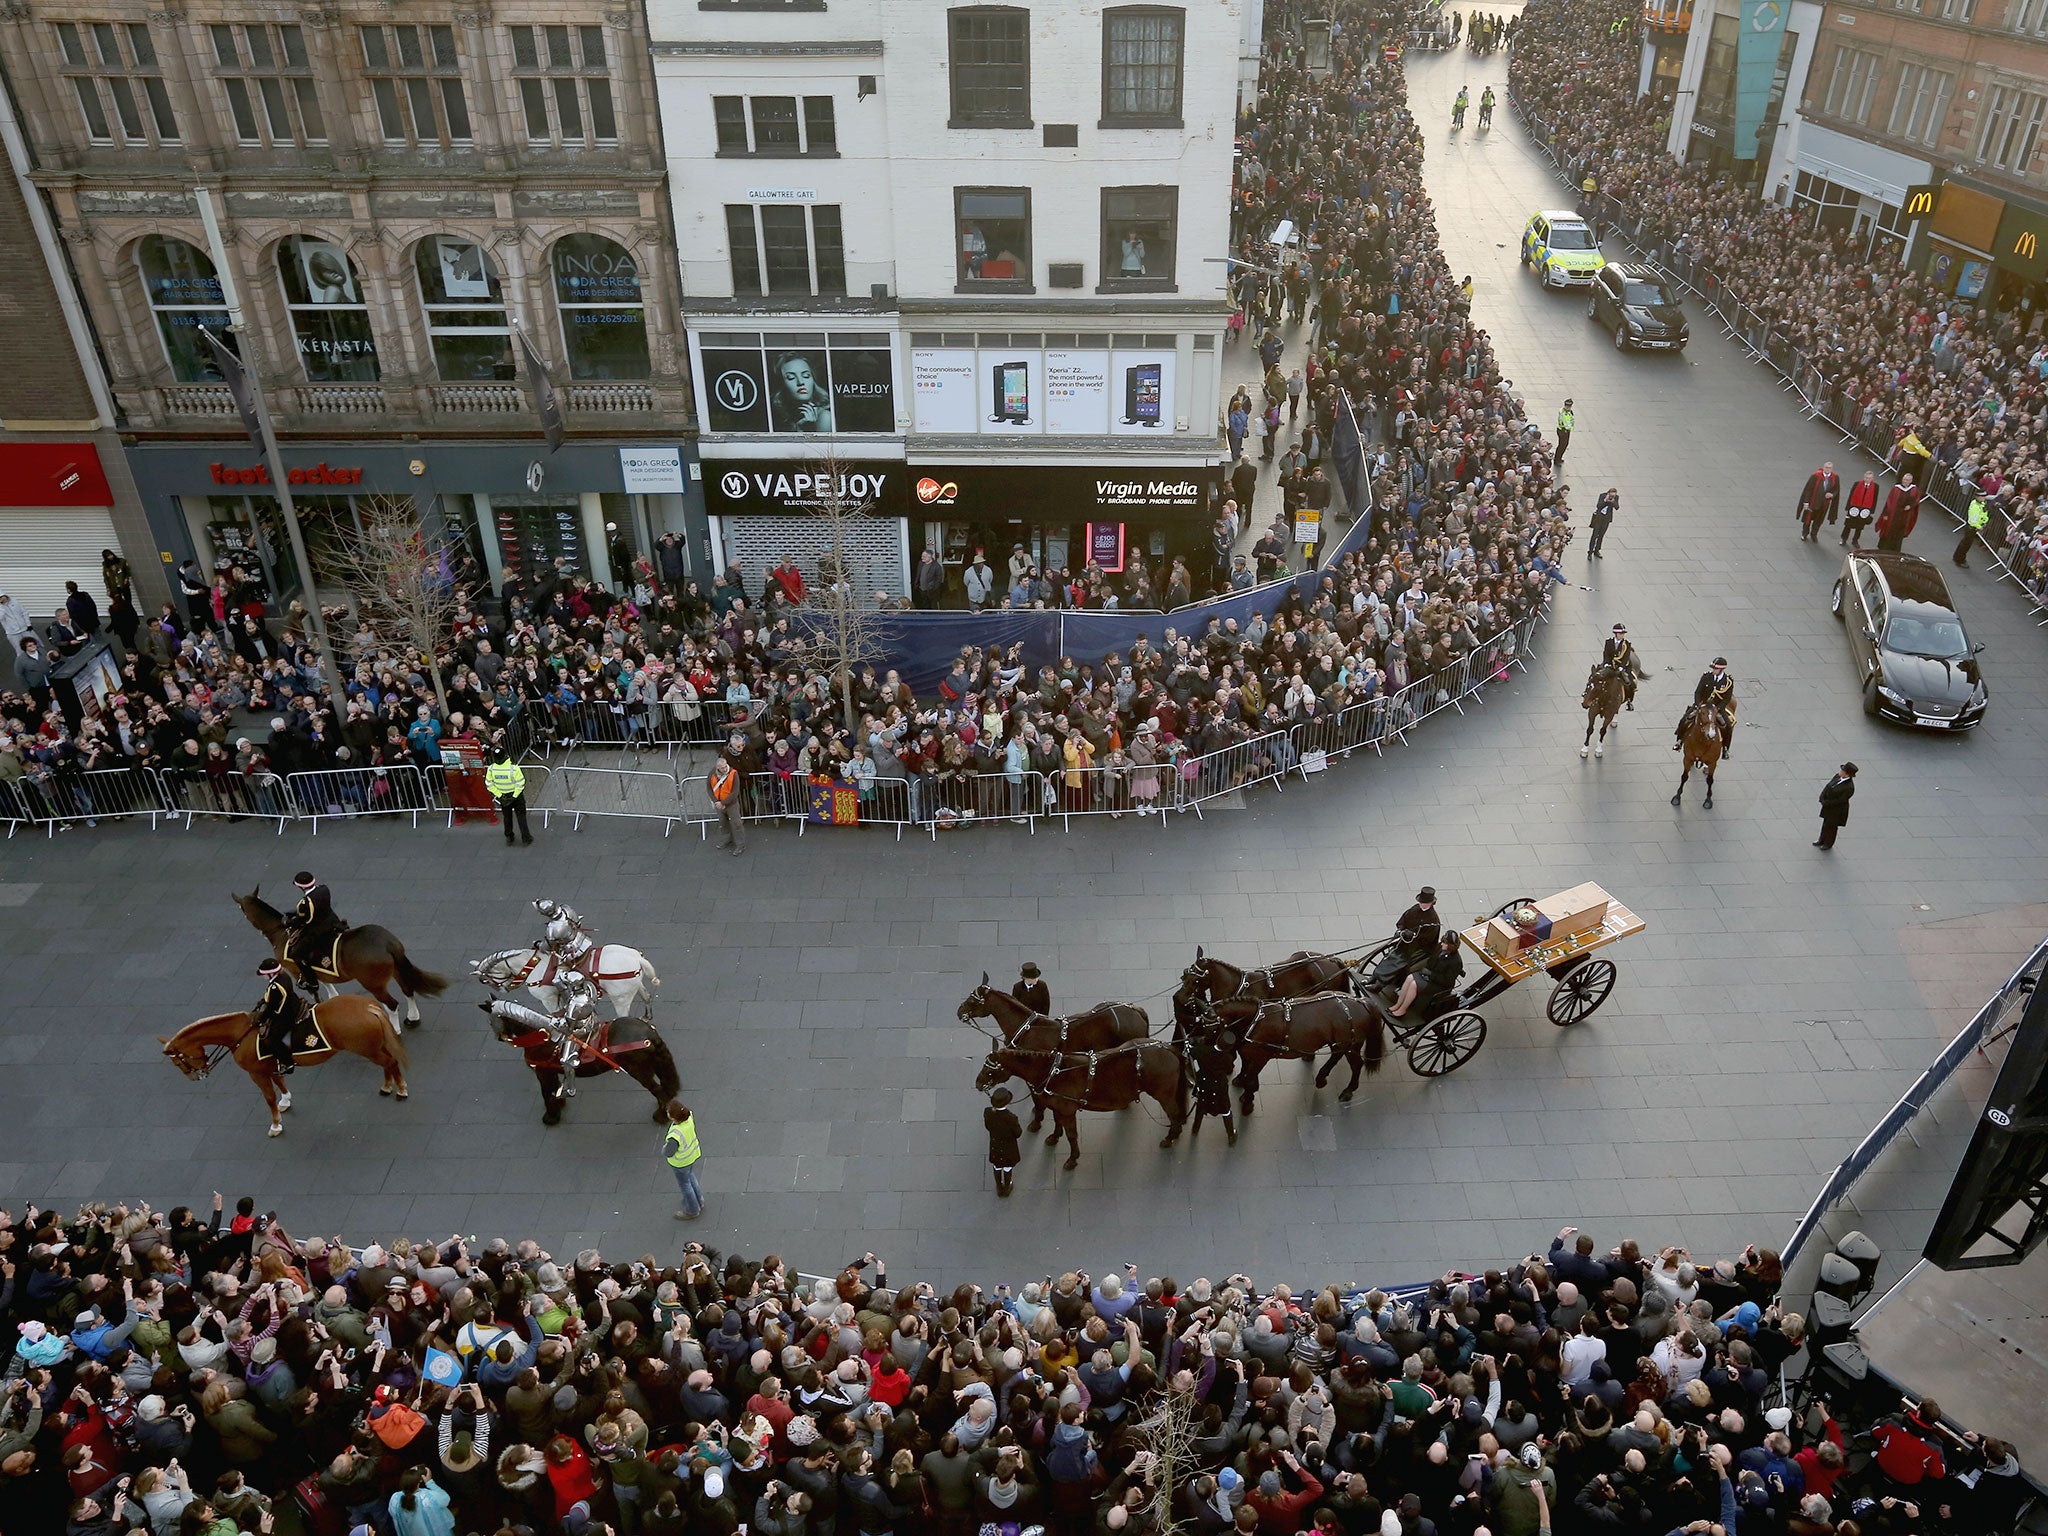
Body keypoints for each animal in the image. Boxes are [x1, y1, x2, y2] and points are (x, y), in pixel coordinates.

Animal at [165, 999, 413, 1146]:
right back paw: (388, 1086)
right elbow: (280, 1081)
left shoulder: (256, 1073)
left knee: (390, 1062)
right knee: (387, 1064)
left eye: (178, 1061)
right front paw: (286, 1100)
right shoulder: (270, 1066)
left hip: (367, 1049)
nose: (196, 1076)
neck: (241, 1034)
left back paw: (400, 1089)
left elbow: (269, 1097)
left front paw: (275, 1124)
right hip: (373, 1046)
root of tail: (368, 1006)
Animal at [237, 888, 450, 1024]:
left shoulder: (296, 968)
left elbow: (313, 988)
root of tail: (387, 942)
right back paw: (412, 1018)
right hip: (397, 971)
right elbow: (324, 981)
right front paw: (332, 998)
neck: (282, 933)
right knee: (408, 990)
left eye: (242, 908)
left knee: (392, 1004)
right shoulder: (314, 969)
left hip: (372, 982)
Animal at [468, 946, 655, 1028]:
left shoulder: (548, 999)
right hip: (635, 987)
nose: (502, 989)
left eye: (484, 980)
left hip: (621, 999)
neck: (536, 966)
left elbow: (556, 1014)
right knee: (646, 996)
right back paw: (647, 1017)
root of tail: (638, 958)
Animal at [974, 1040, 1187, 1171]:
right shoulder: (1058, 1107)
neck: (1054, 1071)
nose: (978, 1084)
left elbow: (1071, 1135)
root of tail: (1167, 1048)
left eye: (991, 1068)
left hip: (1164, 1095)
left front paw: (1073, 1158)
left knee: (1174, 1113)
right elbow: (1057, 1122)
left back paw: (1171, 1137)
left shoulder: (1068, 1111)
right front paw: (1054, 1137)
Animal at [1204, 999, 1384, 1122]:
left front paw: (1248, 1103)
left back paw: (1348, 1090)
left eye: (1205, 1027)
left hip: (1350, 1045)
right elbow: (1247, 1072)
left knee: (1356, 1064)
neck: (1254, 1021)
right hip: (1340, 1043)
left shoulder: (1261, 1057)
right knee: (1336, 1056)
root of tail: (1362, 1002)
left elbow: (1251, 1079)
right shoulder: (1250, 1054)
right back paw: (1321, 1078)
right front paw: (1243, 1087)